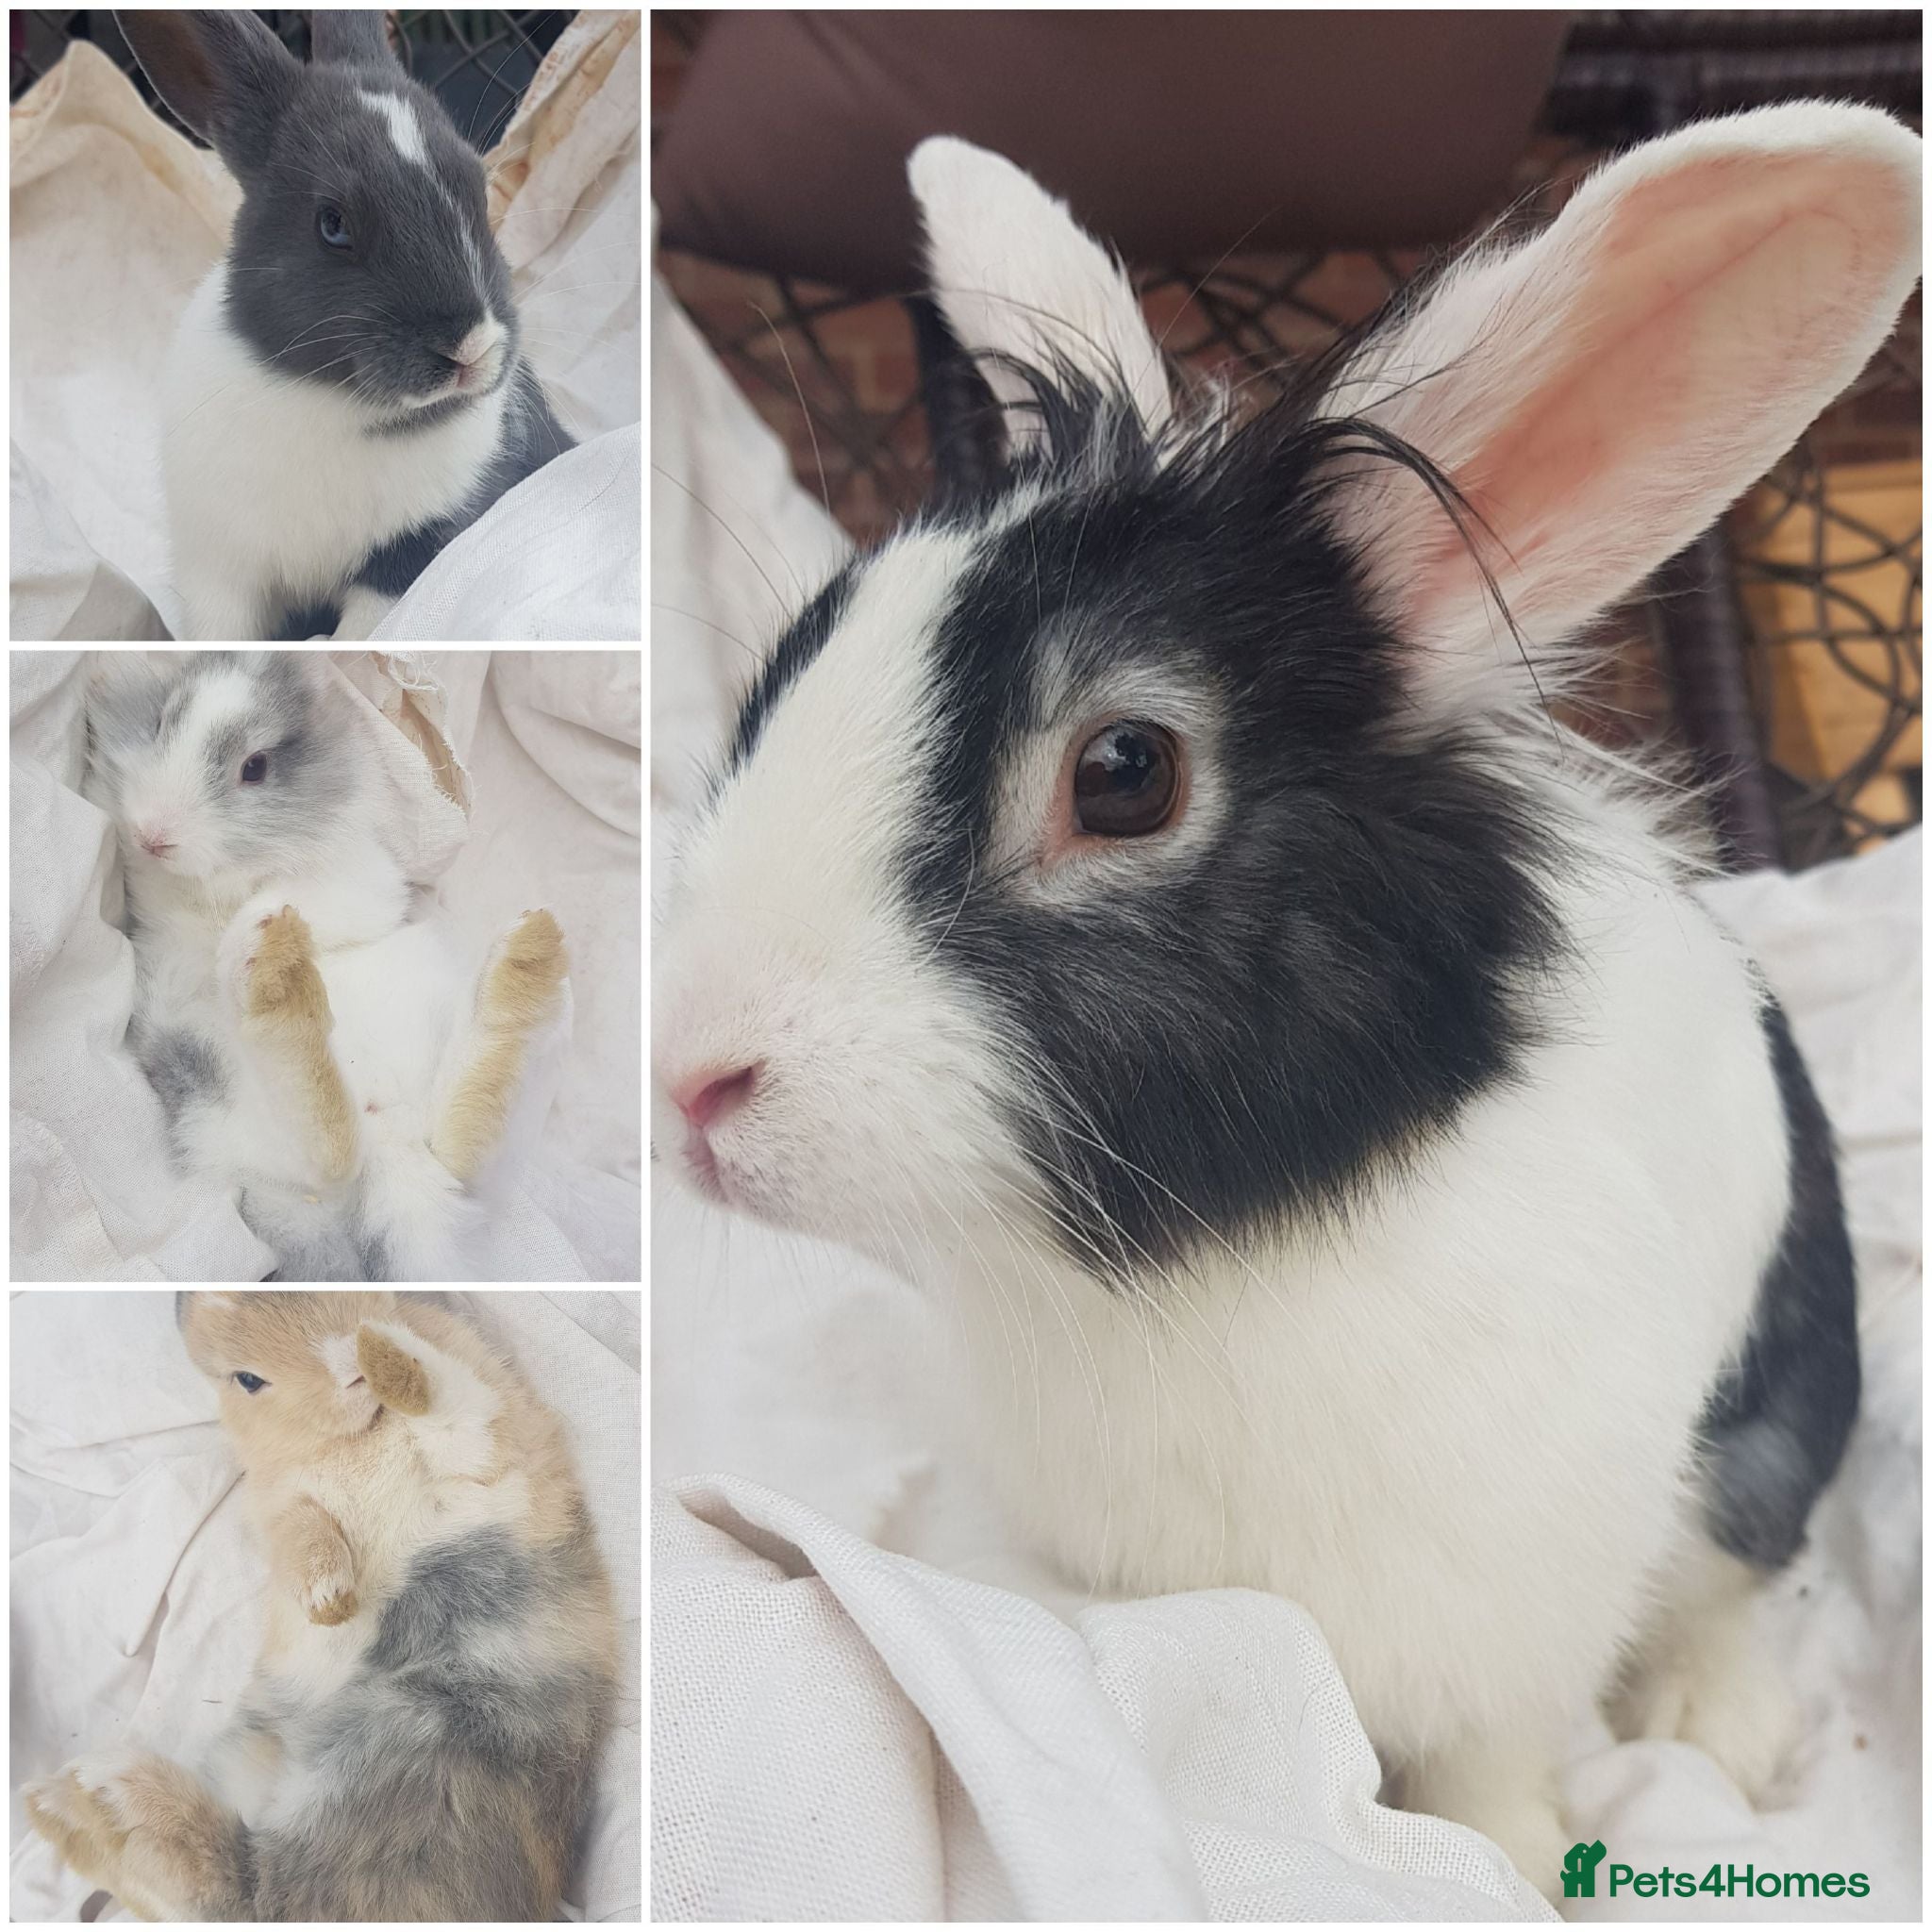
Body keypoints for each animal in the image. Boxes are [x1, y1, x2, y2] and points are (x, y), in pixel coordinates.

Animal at [23, 1291, 619, 1919]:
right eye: (248, 1379)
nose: (348, 1363)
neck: (354, 1438)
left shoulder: (482, 1435)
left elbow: (447, 1401)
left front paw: (384, 1354)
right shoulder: (284, 1508)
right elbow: (304, 1533)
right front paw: (328, 1600)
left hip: (407, 1758)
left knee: (247, 1888)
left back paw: (89, 1796)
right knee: (235, 1889)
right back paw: (73, 1803)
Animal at [84, 649, 572, 1280]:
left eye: (256, 767)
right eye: (164, 722)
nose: (153, 835)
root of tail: (391, 1142)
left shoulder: (361, 884)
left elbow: (292, 904)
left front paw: (256, 926)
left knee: (409, 1149)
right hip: (213, 1089)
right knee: (342, 1151)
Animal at [114, 10, 573, 643]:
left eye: (480, 191)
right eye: (332, 224)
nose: (471, 348)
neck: (331, 401)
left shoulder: (410, 554)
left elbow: (357, 638)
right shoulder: (219, 571)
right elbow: (222, 636)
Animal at [652, 105, 1919, 1897]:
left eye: (1124, 774)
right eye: (791, 664)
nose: (691, 1076)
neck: (1188, 1256)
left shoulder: (1502, 1619)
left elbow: (1488, 1776)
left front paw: (1514, 1866)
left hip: (1776, 1410)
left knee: (1735, 1570)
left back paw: (1719, 1725)